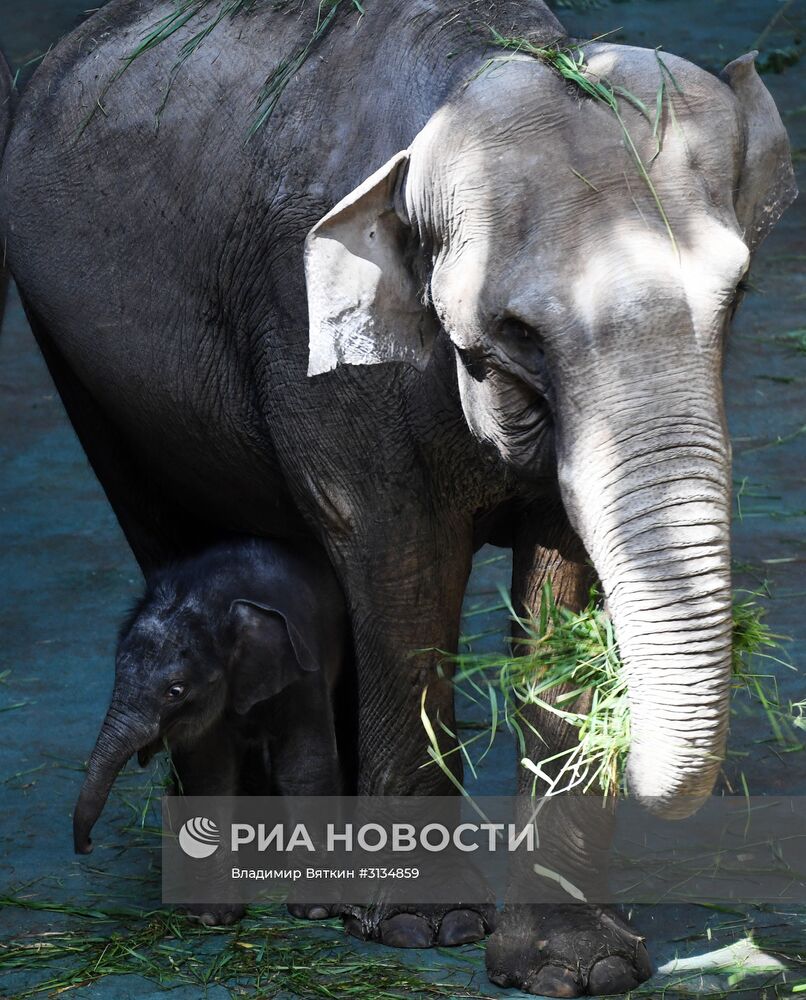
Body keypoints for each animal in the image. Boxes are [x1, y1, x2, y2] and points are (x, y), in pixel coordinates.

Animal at [76, 536, 350, 856]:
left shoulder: (304, 671)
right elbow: (209, 781)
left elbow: (306, 774)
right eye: (117, 670)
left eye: (176, 691)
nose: (89, 845)